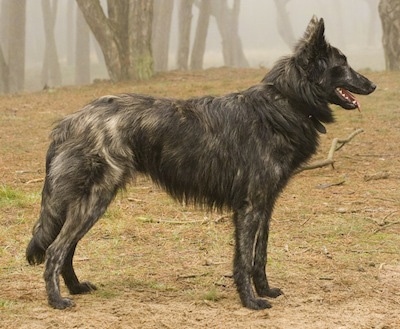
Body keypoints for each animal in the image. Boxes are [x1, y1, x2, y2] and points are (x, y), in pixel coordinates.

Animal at [26, 16, 376, 308]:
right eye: (342, 64)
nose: (372, 84)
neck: (286, 102)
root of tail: (71, 120)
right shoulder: (250, 207)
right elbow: (244, 260)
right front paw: (251, 301)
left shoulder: (265, 205)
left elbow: (260, 256)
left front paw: (265, 290)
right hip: (94, 200)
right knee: (55, 250)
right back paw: (57, 300)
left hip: (92, 202)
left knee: (66, 247)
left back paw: (75, 288)